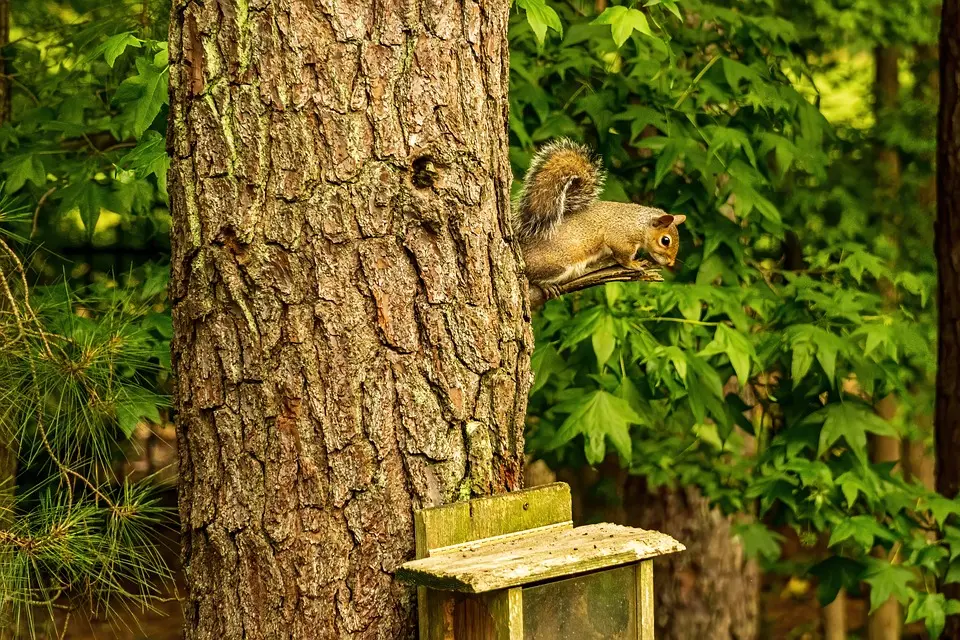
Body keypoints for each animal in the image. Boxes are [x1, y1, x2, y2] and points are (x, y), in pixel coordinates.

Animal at [512, 139, 688, 296]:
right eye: (665, 240)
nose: (671, 262)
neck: (639, 223)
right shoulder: (620, 236)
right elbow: (623, 256)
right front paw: (634, 263)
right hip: (556, 264)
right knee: (532, 276)